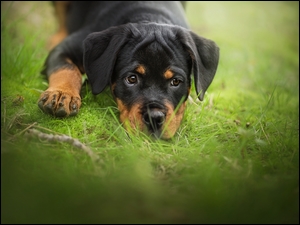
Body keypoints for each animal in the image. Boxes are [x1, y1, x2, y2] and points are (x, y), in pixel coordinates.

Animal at [38, 1, 219, 139]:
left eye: (176, 81)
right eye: (131, 79)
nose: (154, 118)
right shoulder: (67, 48)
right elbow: (67, 69)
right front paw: (61, 95)